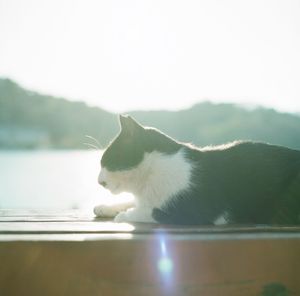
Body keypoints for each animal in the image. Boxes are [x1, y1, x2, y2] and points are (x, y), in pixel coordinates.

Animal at [94, 115, 300, 224]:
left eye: (107, 162)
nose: (99, 181)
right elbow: (132, 201)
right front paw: (105, 207)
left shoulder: (195, 209)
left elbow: (152, 211)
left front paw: (124, 215)